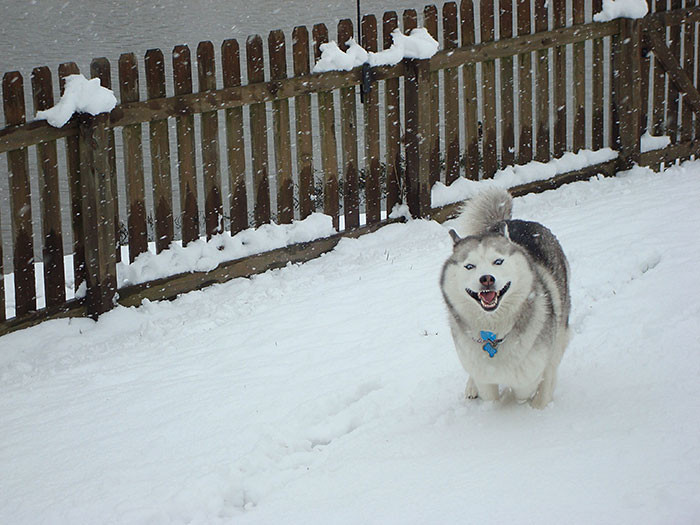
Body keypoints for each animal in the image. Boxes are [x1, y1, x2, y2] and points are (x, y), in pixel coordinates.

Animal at [440, 189, 572, 410]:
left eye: (498, 261)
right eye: (469, 266)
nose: (486, 278)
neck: (494, 334)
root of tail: (509, 221)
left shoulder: (530, 370)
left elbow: (523, 388)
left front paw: (521, 401)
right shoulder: (482, 371)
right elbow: (489, 392)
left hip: (560, 323)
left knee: (552, 362)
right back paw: (471, 387)